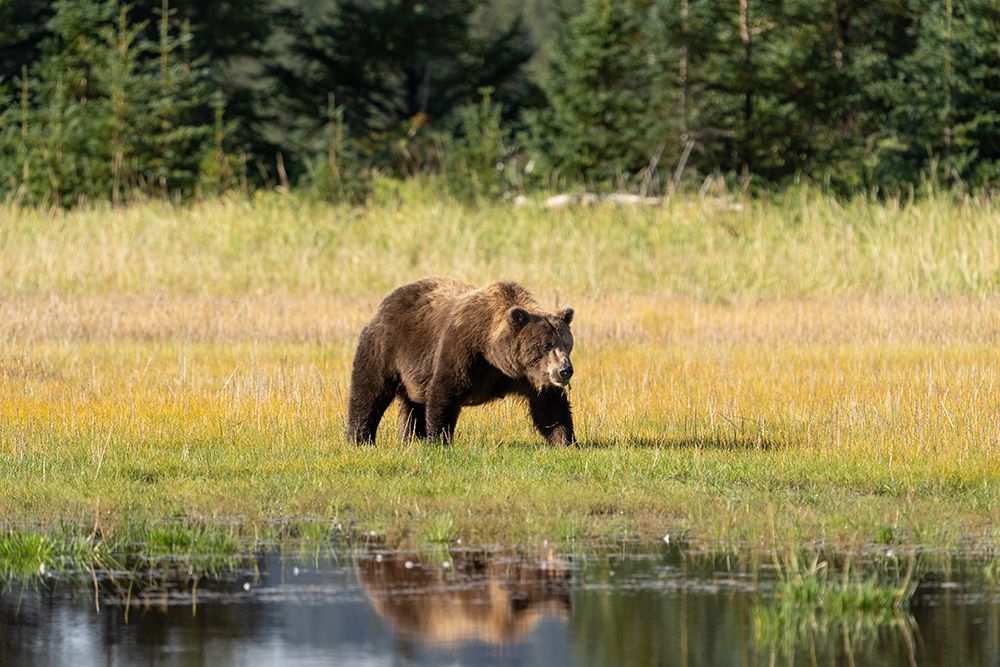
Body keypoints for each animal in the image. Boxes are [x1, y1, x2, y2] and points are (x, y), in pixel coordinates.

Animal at [347, 277, 576, 445]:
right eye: (546, 345)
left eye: (566, 343)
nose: (565, 370)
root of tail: (386, 302)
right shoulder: (463, 351)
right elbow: (444, 393)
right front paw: (438, 440)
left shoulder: (529, 377)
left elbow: (550, 408)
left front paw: (565, 441)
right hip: (386, 347)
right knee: (369, 391)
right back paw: (360, 439)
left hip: (414, 373)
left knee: (413, 404)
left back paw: (413, 439)